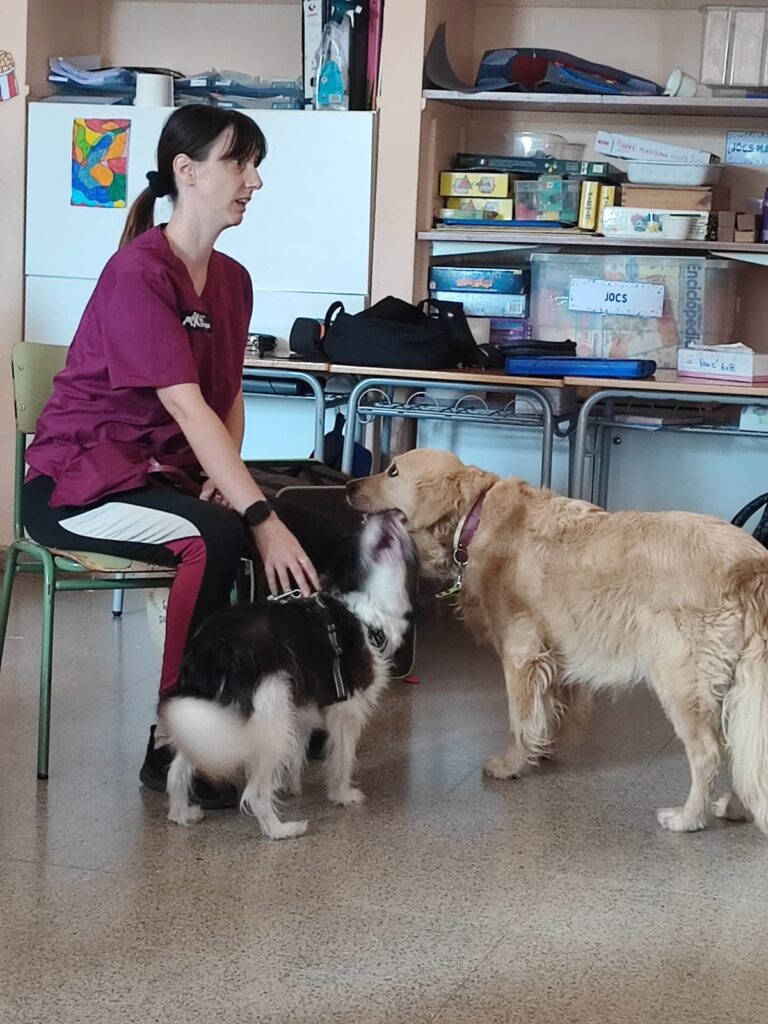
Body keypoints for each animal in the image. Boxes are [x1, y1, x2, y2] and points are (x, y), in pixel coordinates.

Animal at [160, 512, 414, 839]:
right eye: (360, 525)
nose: (391, 512)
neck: (360, 604)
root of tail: (213, 644)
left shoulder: (304, 705)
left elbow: (298, 751)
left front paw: (290, 786)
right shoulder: (346, 709)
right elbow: (343, 757)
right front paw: (342, 795)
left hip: (203, 719)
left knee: (178, 769)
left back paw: (181, 814)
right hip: (271, 716)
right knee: (255, 793)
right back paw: (280, 830)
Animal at [347, 448, 768, 835]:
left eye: (393, 471)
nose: (349, 486)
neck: (475, 519)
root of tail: (752, 561)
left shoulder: (521, 654)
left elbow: (520, 719)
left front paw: (511, 765)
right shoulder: (555, 656)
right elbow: (549, 710)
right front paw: (543, 751)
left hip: (681, 679)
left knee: (707, 755)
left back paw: (687, 818)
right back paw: (735, 808)